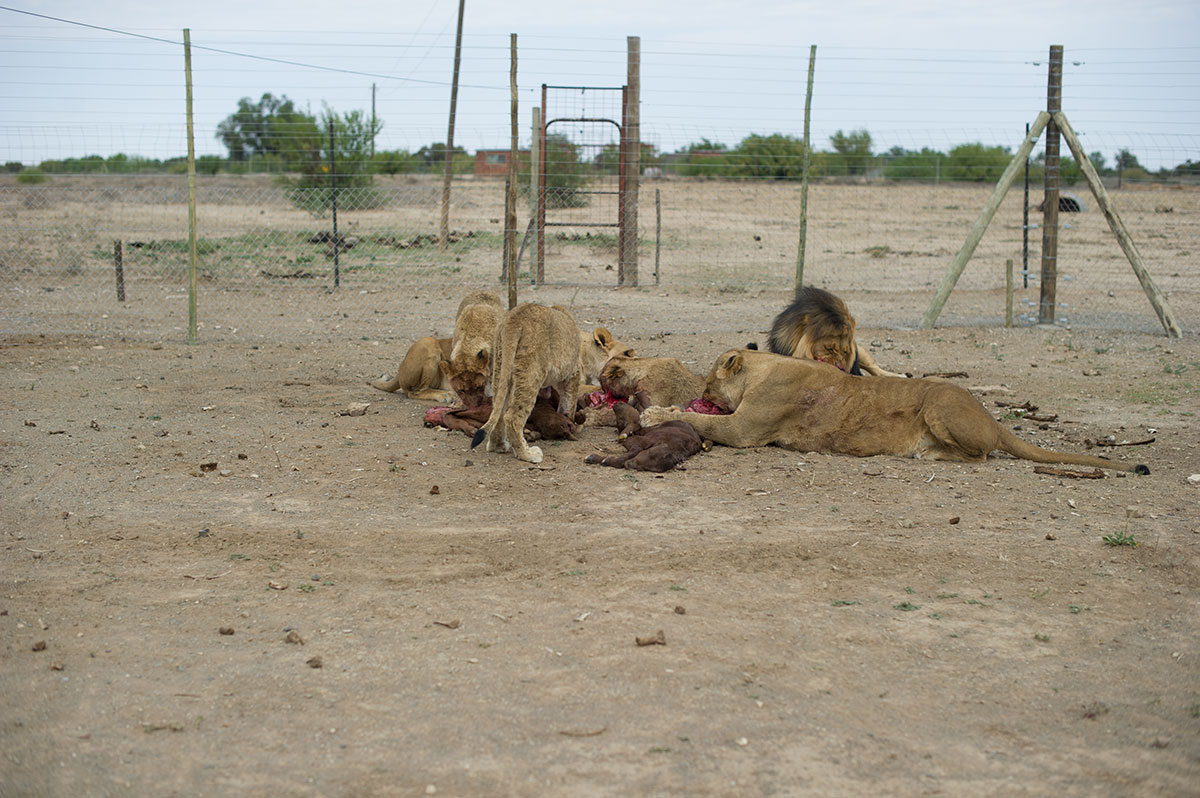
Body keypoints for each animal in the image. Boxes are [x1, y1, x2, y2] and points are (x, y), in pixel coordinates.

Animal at [468, 304, 580, 468]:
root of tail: (514, 319)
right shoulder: (573, 373)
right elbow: (569, 401)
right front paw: (568, 420)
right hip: (531, 371)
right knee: (512, 417)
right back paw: (528, 455)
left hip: (501, 367)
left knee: (499, 410)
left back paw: (498, 446)